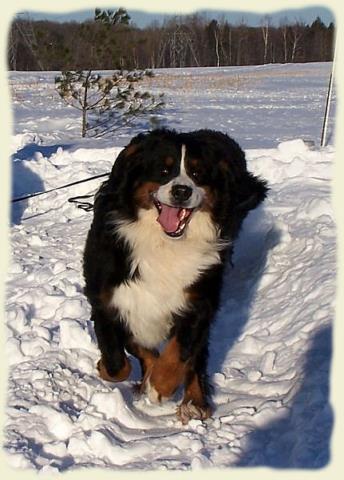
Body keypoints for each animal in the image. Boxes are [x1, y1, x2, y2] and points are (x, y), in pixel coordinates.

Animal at [83, 128, 268, 424]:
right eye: (163, 170)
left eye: (197, 173)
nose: (182, 191)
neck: (165, 244)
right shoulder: (107, 298)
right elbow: (118, 364)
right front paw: (116, 369)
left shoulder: (198, 301)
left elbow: (179, 353)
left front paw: (159, 386)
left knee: (196, 357)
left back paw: (195, 402)